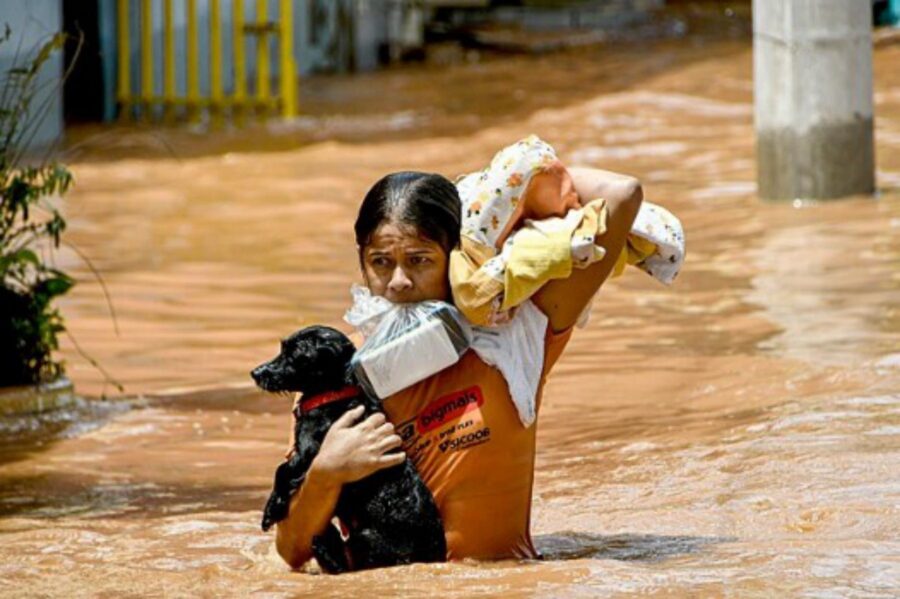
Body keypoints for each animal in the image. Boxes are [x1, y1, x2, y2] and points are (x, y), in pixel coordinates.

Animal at [250, 326, 446, 576]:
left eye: (293, 355)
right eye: (282, 348)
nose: (255, 373)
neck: (335, 394)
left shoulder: (308, 451)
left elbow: (282, 470)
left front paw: (271, 510)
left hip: (367, 537)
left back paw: (325, 549)